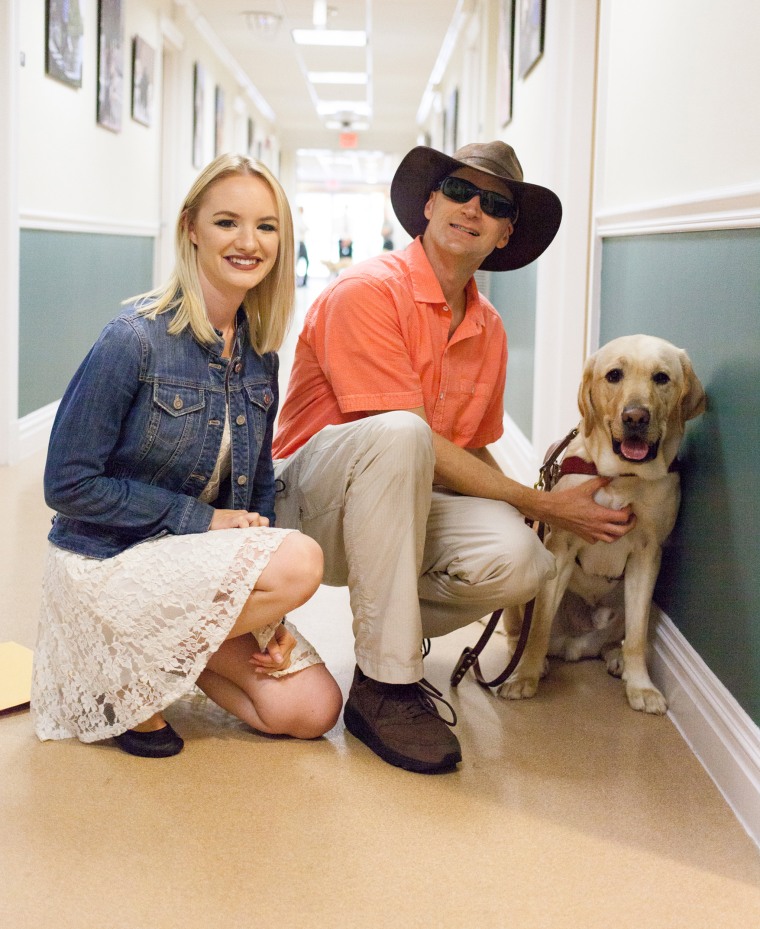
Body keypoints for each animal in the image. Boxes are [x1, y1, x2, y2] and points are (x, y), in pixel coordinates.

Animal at [498, 334, 708, 712]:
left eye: (661, 377)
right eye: (614, 375)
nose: (636, 416)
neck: (623, 477)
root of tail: (576, 646)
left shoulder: (647, 554)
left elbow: (637, 635)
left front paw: (641, 686)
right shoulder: (560, 547)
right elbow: (537, 628)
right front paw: (525, 676)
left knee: (623, 636)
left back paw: (616, 658)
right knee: (518, 630)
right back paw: (522, 661)